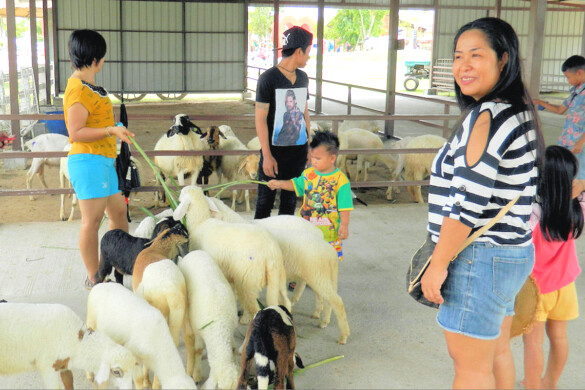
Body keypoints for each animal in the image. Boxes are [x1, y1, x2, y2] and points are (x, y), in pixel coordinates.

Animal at [173, 184, 292, 324]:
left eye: (181, 195)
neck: (200, 222)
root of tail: (270, 254)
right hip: (279, 276)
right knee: (286, 302)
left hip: (248, 279)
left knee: (254, 307)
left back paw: (245, 320)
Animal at [179, 250, 241, 390]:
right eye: (220, 389)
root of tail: (194, 252)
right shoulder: (198, 332)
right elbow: (197, 350)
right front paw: (196, 375)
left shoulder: (231, 331)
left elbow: (234, 348)